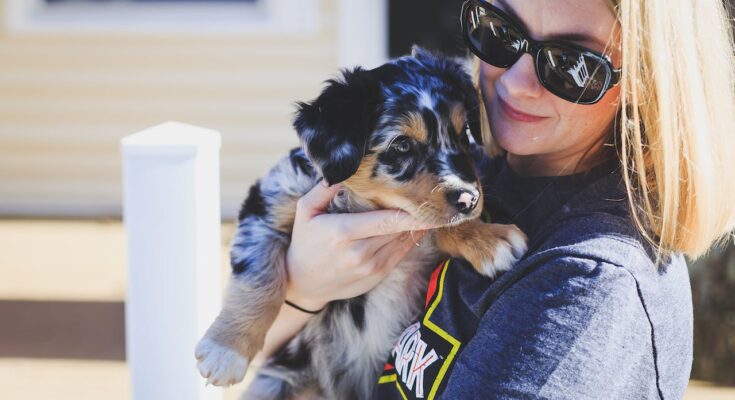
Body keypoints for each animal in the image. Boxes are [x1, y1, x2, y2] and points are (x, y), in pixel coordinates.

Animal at [196, 47, 528, 400]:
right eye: (402, 144)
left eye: (463, 133)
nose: (469, 199)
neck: (364, 205)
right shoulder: (269, 202)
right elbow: (259, 277)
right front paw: (226, 350)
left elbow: (437, 222)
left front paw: (487, 237)